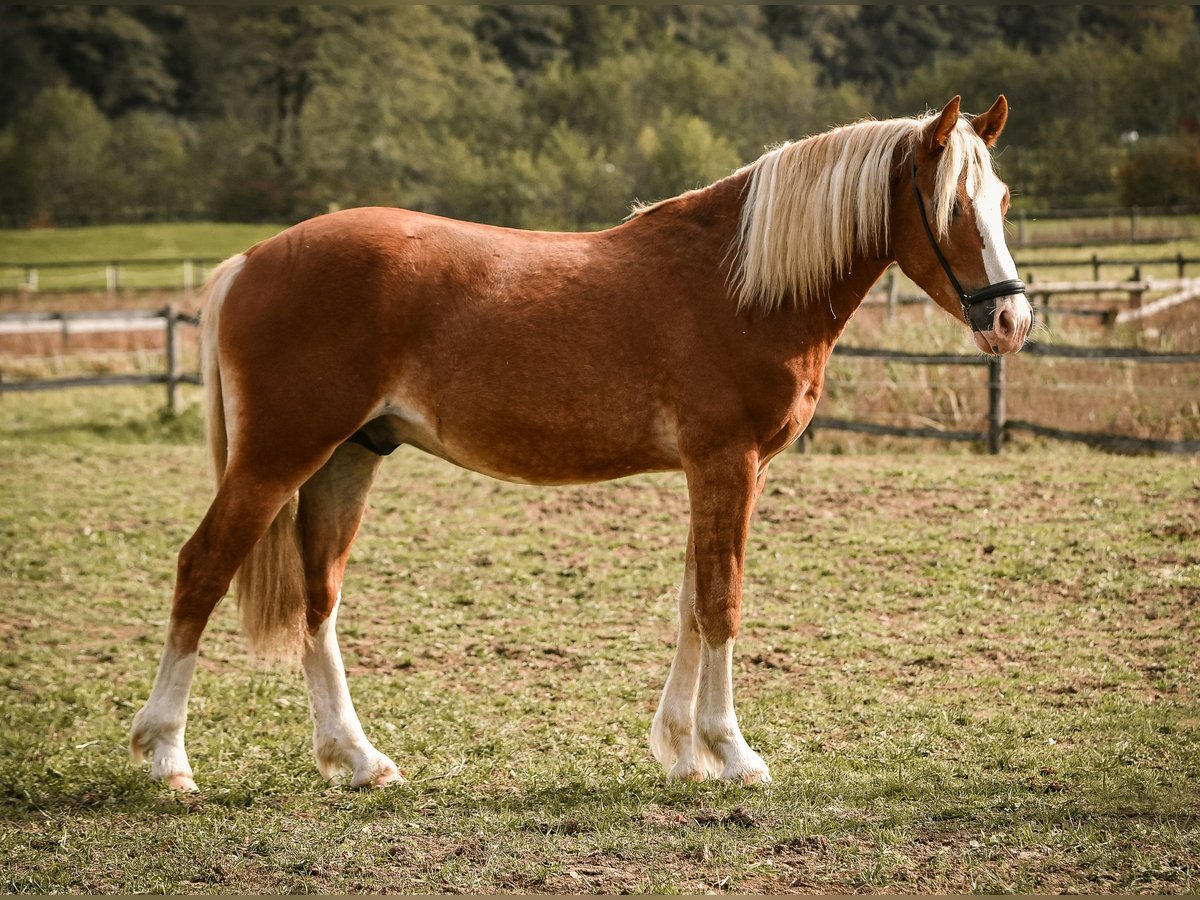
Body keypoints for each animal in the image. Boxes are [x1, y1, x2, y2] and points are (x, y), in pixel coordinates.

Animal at [131, 95, 1032, 791]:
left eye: (1003, 202)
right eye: (952, 206)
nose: (1010, 319)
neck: (738, 283)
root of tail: (251, 259)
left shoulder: (712, 472)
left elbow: (691, 601)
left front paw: (682, 754)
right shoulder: (728, 463)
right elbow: (721, 603)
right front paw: (733, 754)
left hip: (346, 459)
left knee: (319, 599)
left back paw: (357, 759)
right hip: (277, 459)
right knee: (201, 569)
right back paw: (168, 757)